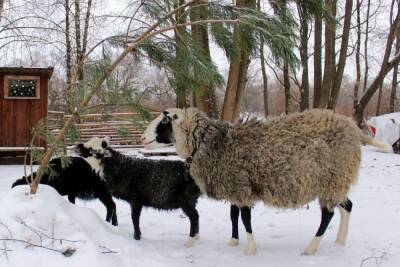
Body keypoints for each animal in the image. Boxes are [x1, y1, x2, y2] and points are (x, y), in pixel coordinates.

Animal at [141, 108, 390, 255]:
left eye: (164, 121)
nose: (142, 138)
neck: (210, 143)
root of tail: (353, 129)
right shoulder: (237, 185)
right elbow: (234, 214)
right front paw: (234, 241)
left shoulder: (241, 187)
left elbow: (245, 218)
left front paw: (250, 248)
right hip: (336, 182)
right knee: (347, 206)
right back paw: (339, 241)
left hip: (332, 179)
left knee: (327, 215)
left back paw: (311, 248)